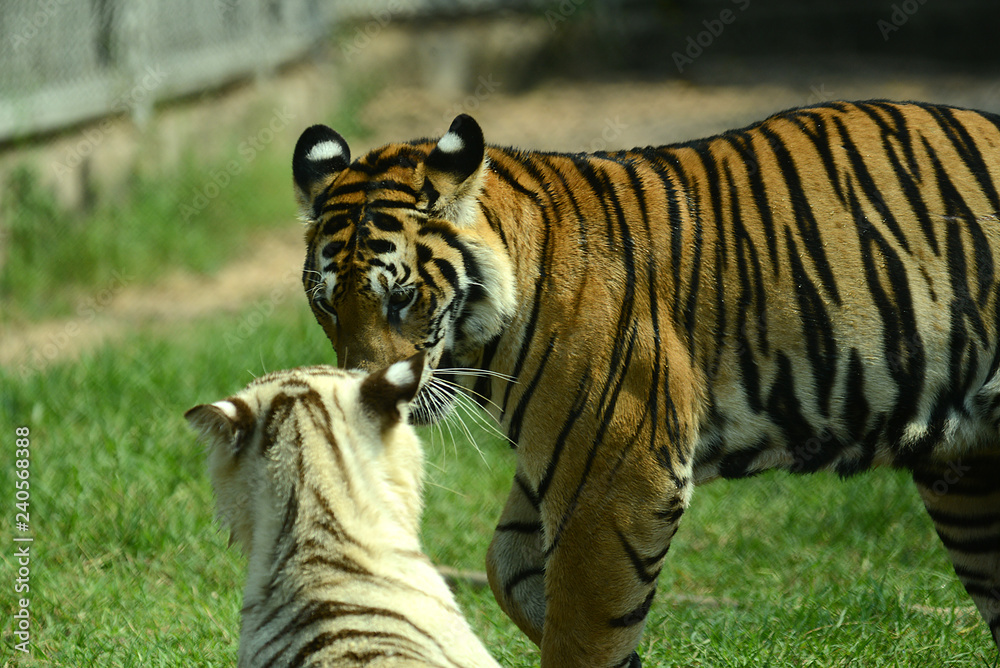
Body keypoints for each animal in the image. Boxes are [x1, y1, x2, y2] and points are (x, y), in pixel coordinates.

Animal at [291, 100, 1000, 666]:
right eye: (327, 304)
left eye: (403, 297)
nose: (365, 400)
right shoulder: (562, 460)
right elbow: (509, 568)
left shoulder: (615, 475)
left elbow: (582, 631)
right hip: (966, 479)